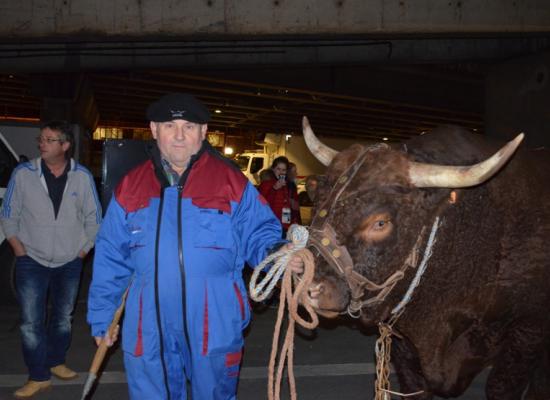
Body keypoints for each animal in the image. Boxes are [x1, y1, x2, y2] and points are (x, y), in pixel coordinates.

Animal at [302, 118, 550, 400]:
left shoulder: (527, 331)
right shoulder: (404, 344)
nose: (308, 285)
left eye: (380, 222)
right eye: (319, 203)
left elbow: (504, 386)